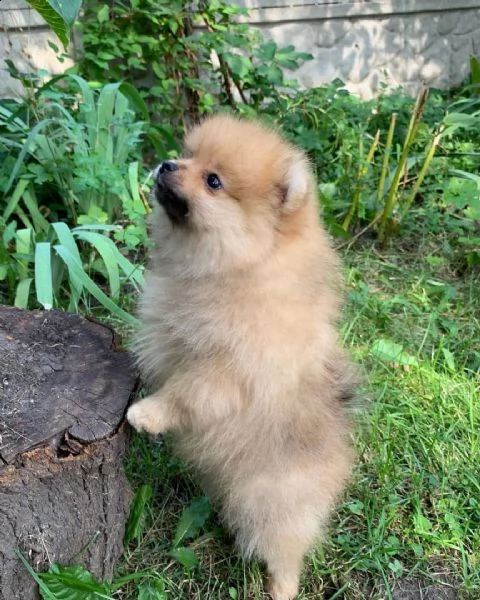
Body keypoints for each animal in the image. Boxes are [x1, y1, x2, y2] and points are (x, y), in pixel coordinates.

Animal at [127, 115, 356, 596]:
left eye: (213, 181)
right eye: (188, 154)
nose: (167, 164)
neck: (238, 271)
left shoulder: (228, 370)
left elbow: (184, 394)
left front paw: (146, 414)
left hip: (270, 502)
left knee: (285, 549)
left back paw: (281, 587)